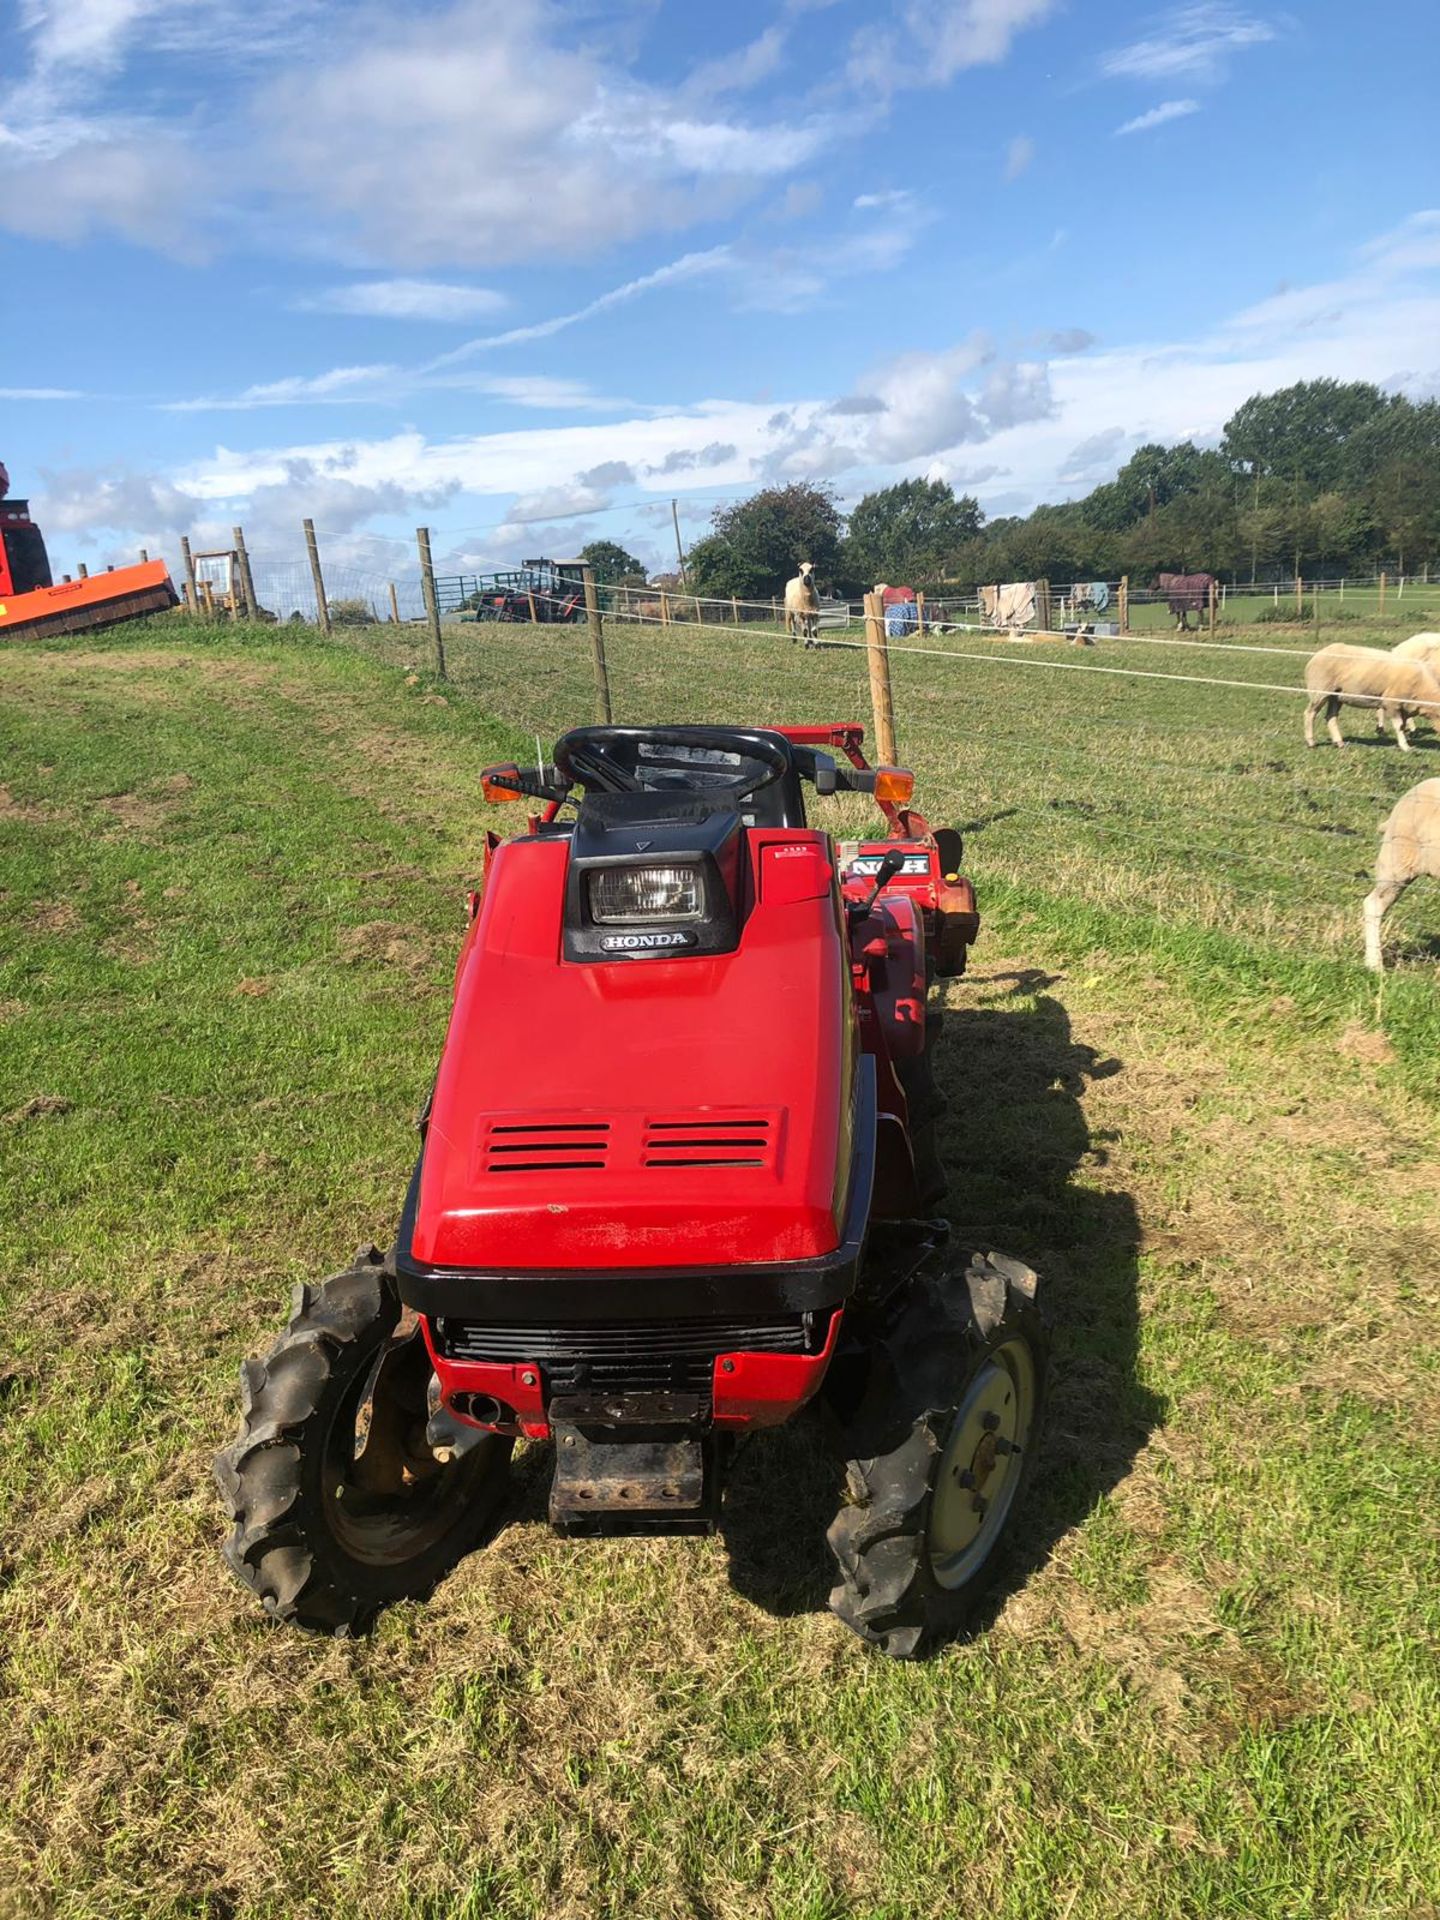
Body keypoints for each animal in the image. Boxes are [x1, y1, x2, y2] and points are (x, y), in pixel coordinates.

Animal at [1305, 637, 1440, 741]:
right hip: (1320, 692)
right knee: (1310, 713)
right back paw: (1311, 741)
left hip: (1336, 696)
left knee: (1331, 716)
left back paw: (1339, 742)